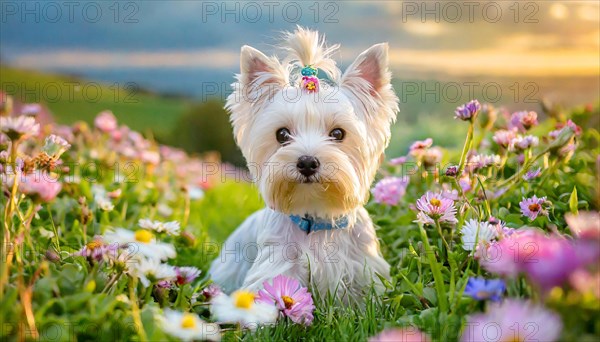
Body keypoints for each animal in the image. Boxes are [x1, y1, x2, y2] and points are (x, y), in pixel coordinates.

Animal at [210, 27, 398, 302]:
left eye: (338, 133)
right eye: (282, 134)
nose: (307, 162)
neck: (317, 215)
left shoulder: (364, 269)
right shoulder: (278, 262)